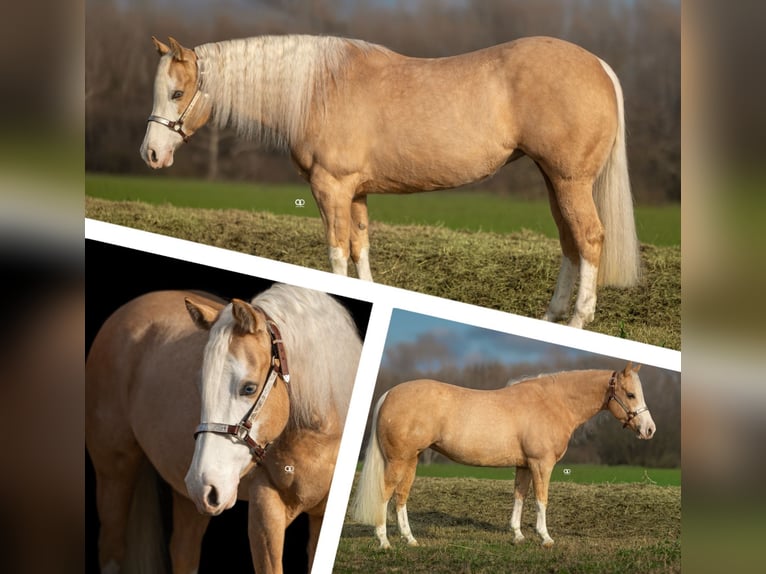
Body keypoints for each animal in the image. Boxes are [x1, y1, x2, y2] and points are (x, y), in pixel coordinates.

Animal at [85, 286, 362, 572]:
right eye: (199, 385)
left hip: (189, 497)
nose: (203, 482)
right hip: (115, 473)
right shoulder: (266, 512)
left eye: (249, 388)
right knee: (112, 547)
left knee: (182, 551)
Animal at [140, 36, 640, 330]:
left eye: (177, 93)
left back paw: (577, 321)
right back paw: (551, 315)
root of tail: (599, 65)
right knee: (570, 243)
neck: (318, 89)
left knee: (589, 238)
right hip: (555, 180)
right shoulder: (357, 192)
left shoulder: (332, 188)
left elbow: (337, 253)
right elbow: (361, 249)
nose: (151, 154)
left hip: (570, 180)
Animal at [352, 364, 656, 548]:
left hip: (411, 460)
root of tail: (390, 393)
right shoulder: (541, 464)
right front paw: (545, 537)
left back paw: (410, 539)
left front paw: (518, 535)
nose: (649, 429)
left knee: (401, 497)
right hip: (399, 460)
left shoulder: (524, 465)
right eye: (630, 394)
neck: (553, 403)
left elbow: (519, 496)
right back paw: (384, 541)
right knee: (386, 494)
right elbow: (541, 499)